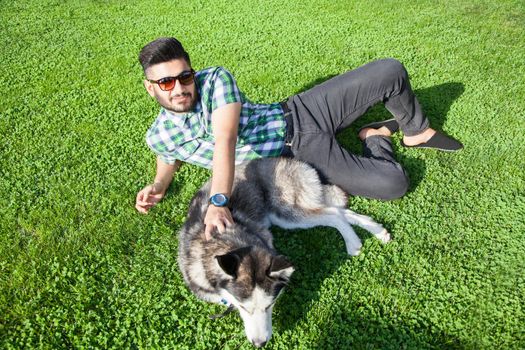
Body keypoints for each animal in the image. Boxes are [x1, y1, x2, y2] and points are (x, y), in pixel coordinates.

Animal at [178, 158, 390, 348]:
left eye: (269, 305)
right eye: (243, 308)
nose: (259, 344)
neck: (222, 239)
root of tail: (295, 162)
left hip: (287, 213)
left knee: (334, 214)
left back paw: (353, 242)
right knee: (341, 212)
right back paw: (377, 230)